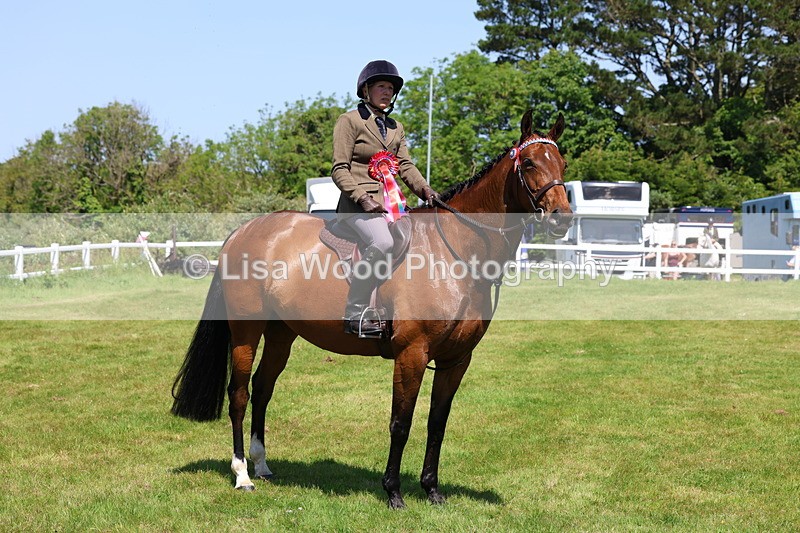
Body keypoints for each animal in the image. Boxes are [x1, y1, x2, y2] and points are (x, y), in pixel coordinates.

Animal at [170, 110, 573, 509]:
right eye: (530, 162)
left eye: (562, 163)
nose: (562, 217)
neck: (453, 252)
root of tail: (243, 232)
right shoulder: (411, 354)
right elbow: (401, 423)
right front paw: (393, 492)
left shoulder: (456, 360)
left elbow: (437, 424)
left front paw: (432, 490)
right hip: (246, 331)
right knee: (239, 393)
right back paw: (242, 474)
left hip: (282, 333)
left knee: (263, 388)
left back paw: (262, 464)